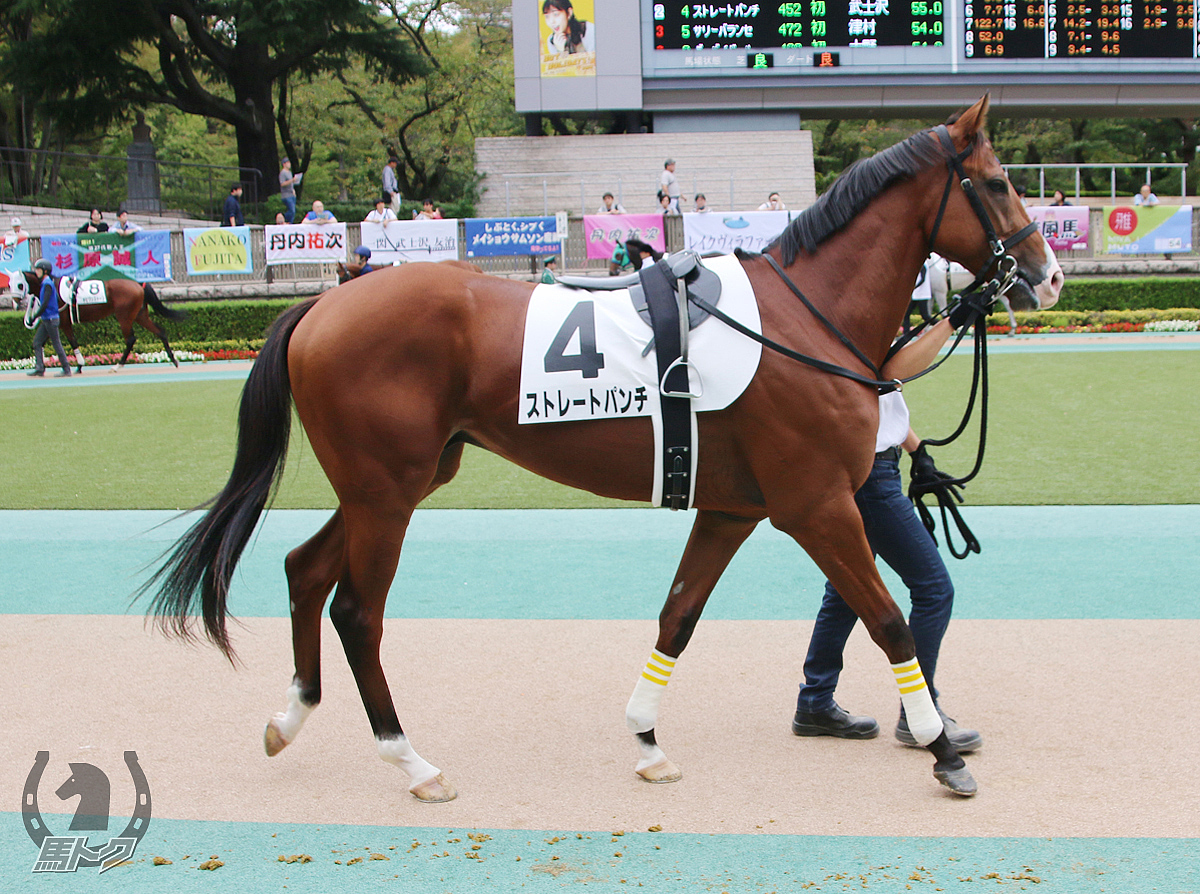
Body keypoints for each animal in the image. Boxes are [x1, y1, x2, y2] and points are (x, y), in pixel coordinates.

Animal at [17, 270, 187, 372]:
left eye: (19, 284)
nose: (17, 301)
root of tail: (139, 284)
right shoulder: (55, 321)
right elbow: (41, 341)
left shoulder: (64, 322)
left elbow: (72, 342)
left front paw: (79, 366)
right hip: (140, 315)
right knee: (160, 332)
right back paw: (174, 360)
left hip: (124, 316)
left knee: (130, 339)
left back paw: (117, 365)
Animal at [147, 96, 1060, 801]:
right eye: (997, 182)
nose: (1048, 275)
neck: (803, 317)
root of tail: (322, 306)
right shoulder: (817, 506)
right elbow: (891, 621)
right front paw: (941, 749)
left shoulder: (732, 508)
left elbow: (679, 614)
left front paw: (648, 740)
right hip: (386, 493)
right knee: (356, 611)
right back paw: (412, 762)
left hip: (397, 482)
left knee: (305, 569)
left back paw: (289, 717)